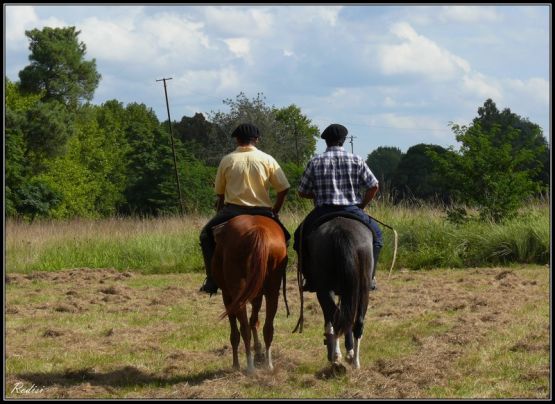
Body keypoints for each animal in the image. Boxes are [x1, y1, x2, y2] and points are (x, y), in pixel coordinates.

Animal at [211, 215, 288, 372]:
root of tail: (258, 230)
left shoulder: (227, 297)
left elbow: (235, 332)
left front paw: (235, 364)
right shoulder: (257, 295)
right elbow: (255, 321)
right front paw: (258, 352)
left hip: (236, 294)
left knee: (243, 329)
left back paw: (249, 366)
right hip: (272, 291)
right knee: (267, 327)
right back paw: (268, 364)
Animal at [304, 218, 374, 370]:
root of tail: (341, 231)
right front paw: (349, 351)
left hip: (324, 289)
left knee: (336, 317)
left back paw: (336, 356)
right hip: (363, 289)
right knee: (357, 322)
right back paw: (355, 362)